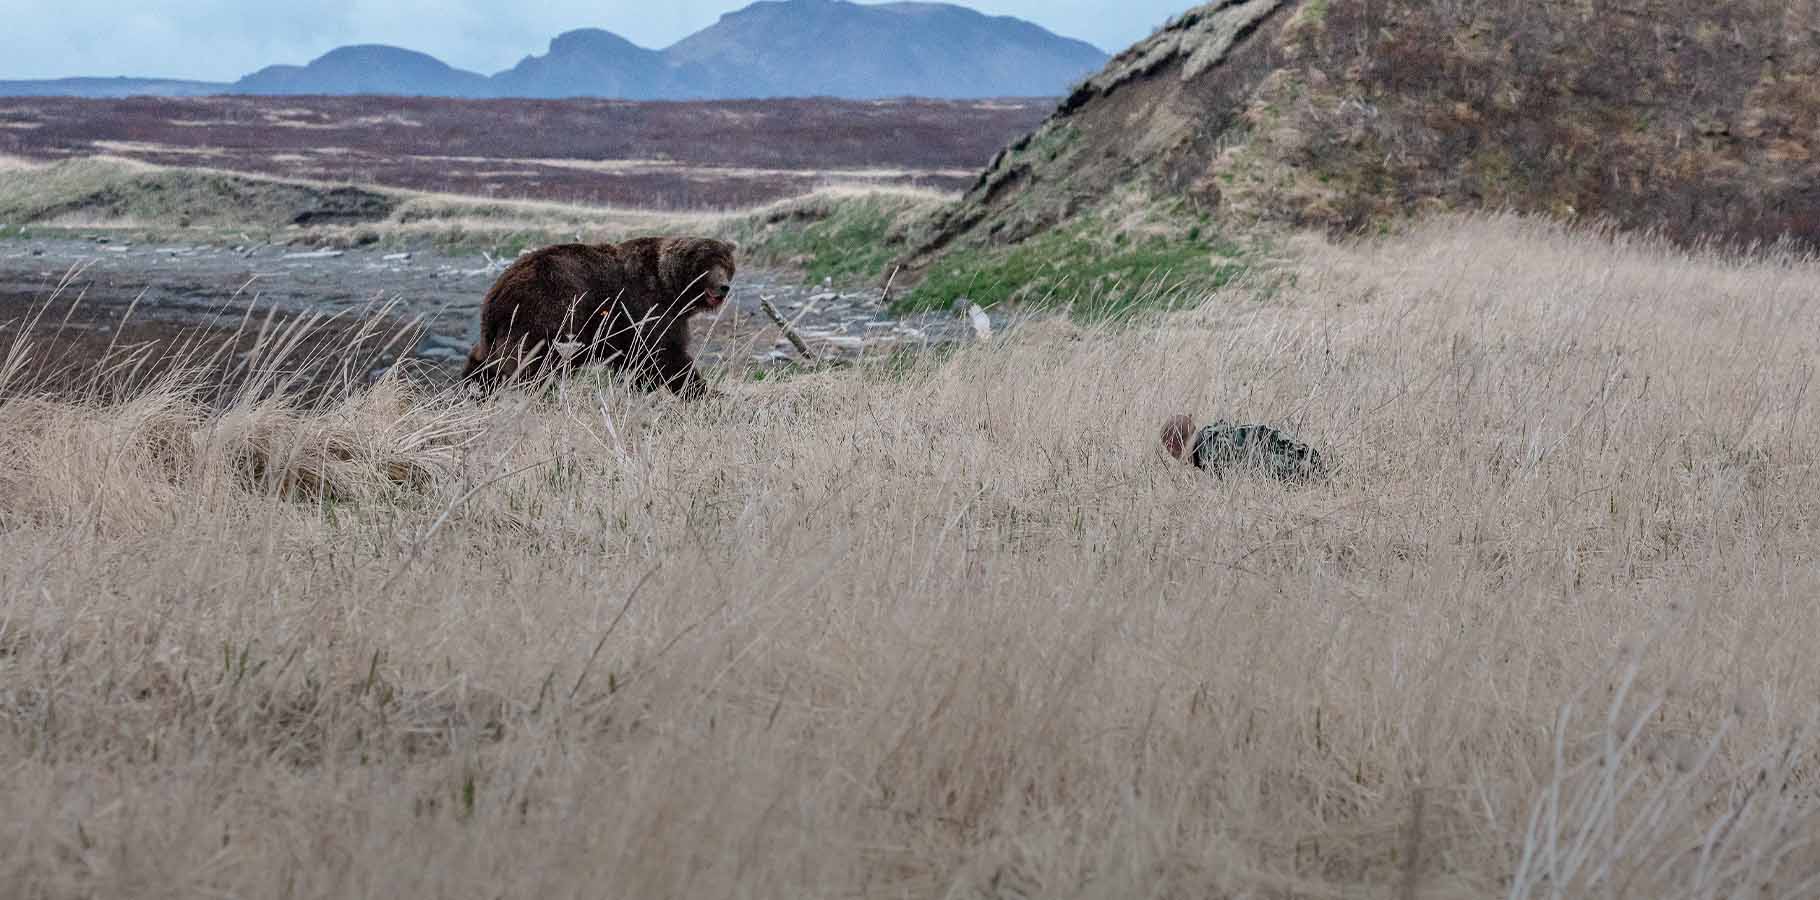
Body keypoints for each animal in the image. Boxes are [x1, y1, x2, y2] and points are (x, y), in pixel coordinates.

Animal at [458, 236, 735, 398]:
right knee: (528, 365)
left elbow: (638, 363)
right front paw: (705, 392)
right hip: (545, 312)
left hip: (504, 328)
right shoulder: (647, 307)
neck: (673, 289)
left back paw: (472, 388)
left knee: (485, 359)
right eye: (708, 266)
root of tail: (497, 290)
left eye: (726, 266)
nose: (723, 287)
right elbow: (665, 354)